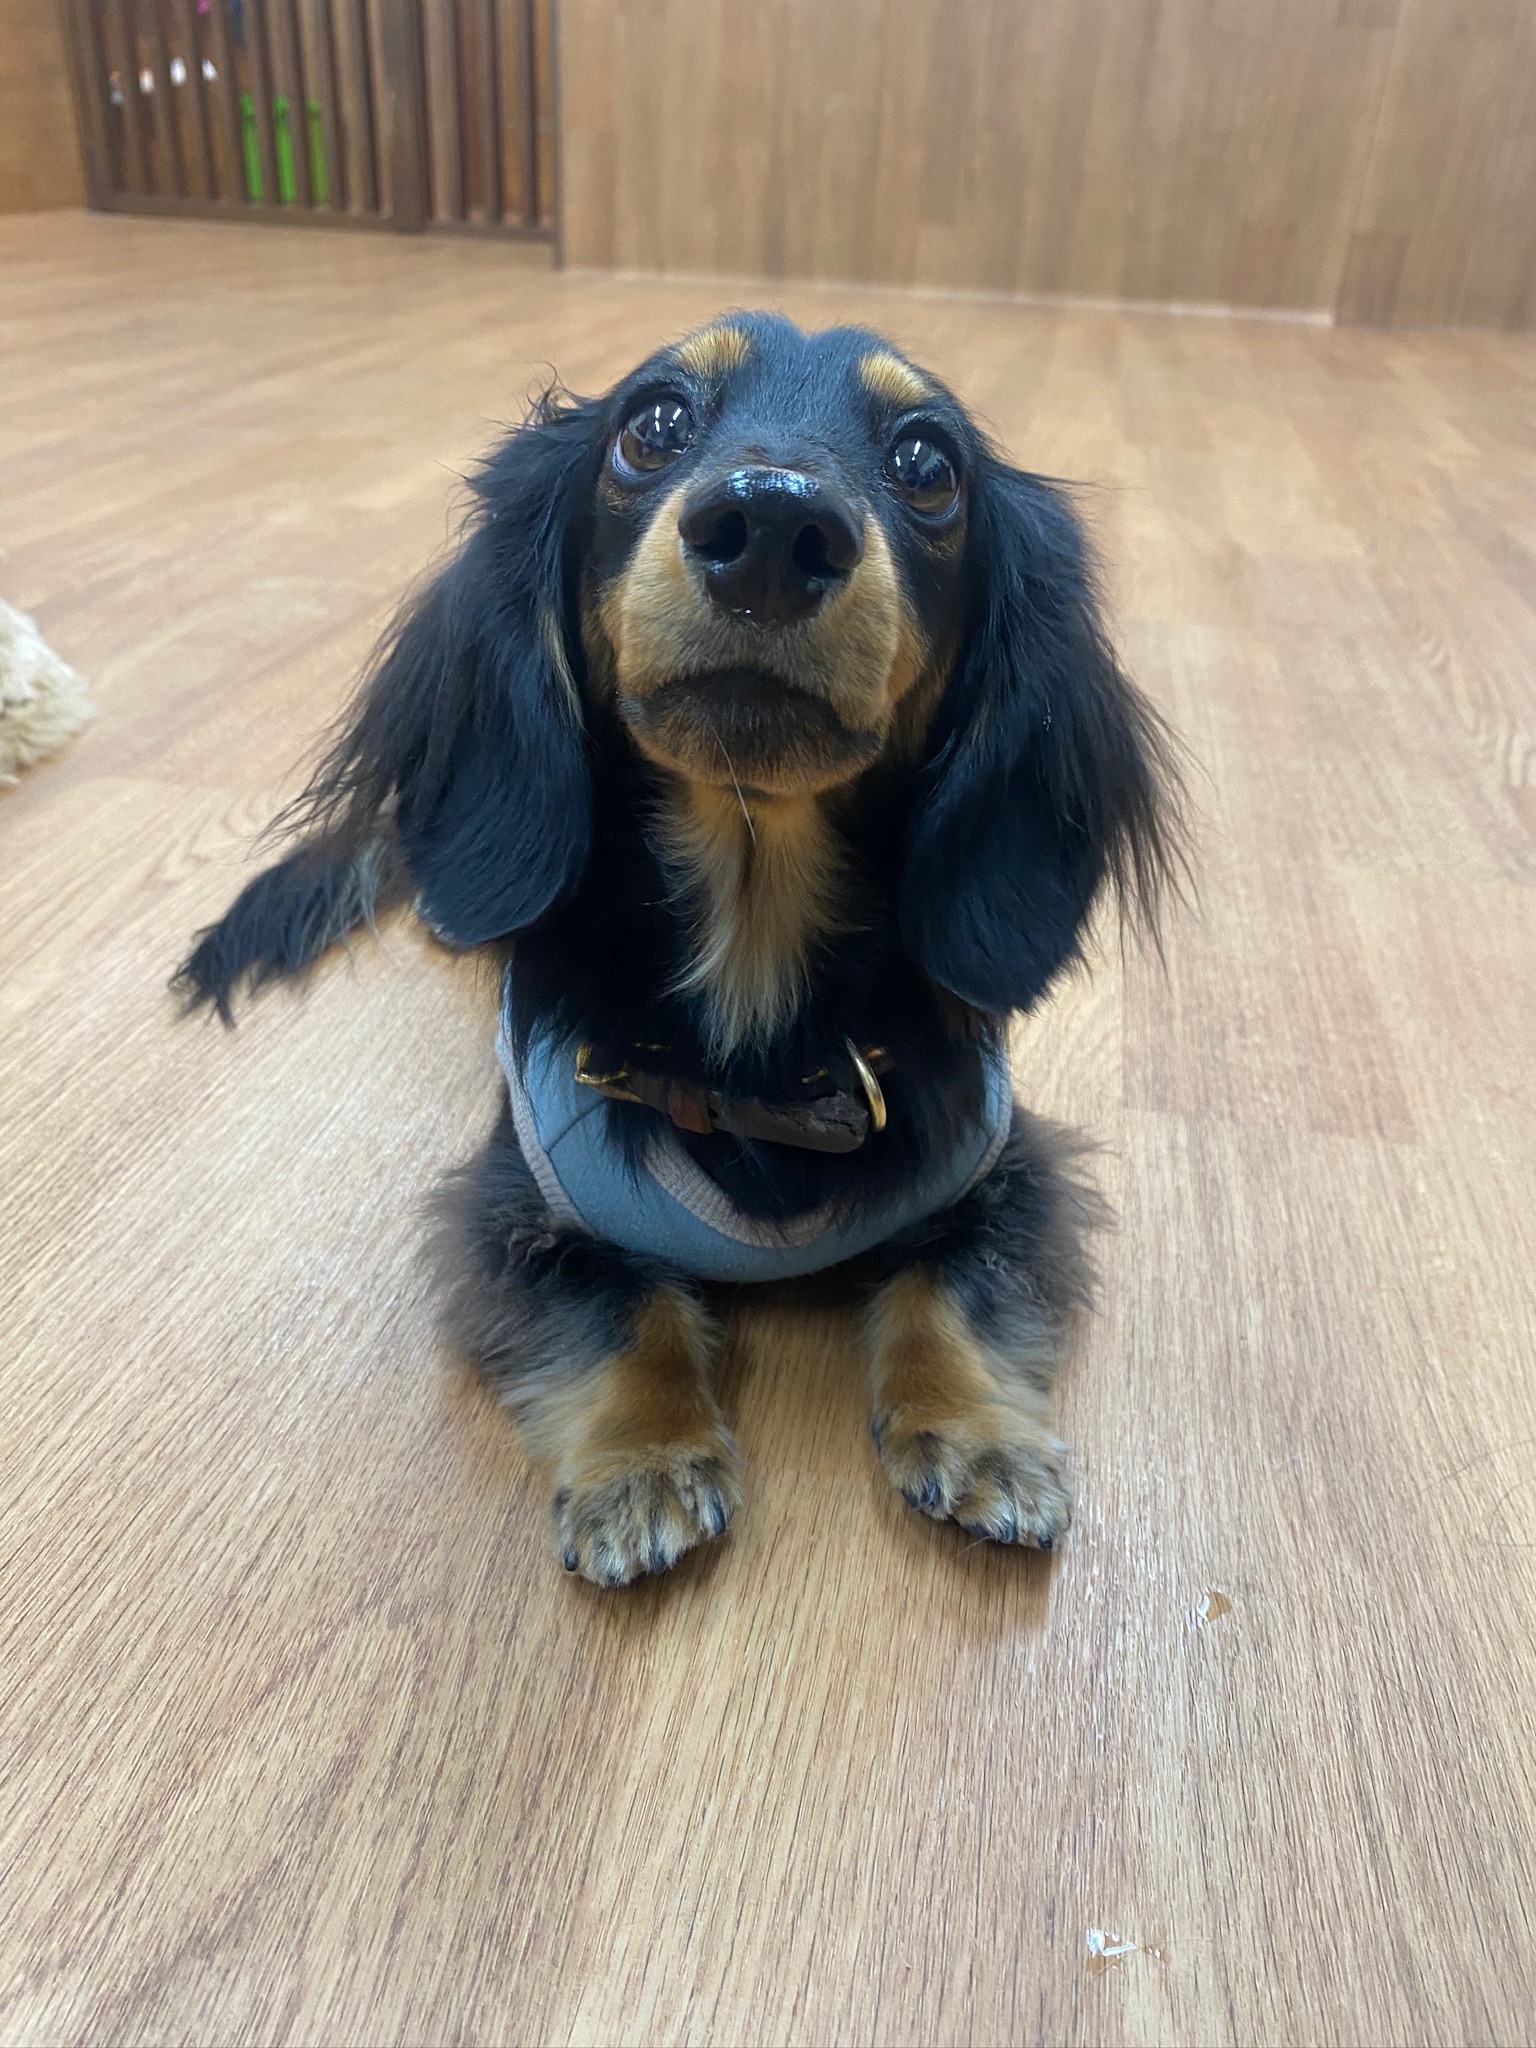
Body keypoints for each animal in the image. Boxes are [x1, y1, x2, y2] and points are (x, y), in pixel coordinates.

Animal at [177, 313, 1183, 1587]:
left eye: (928, 464)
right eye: (651, 425)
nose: (773, 528)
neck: (753, 970)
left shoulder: (1002, 1164)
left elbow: (949, 1279)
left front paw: (983, 1433)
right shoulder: (516, 1201)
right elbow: (624, 1305)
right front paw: (643, 1460)